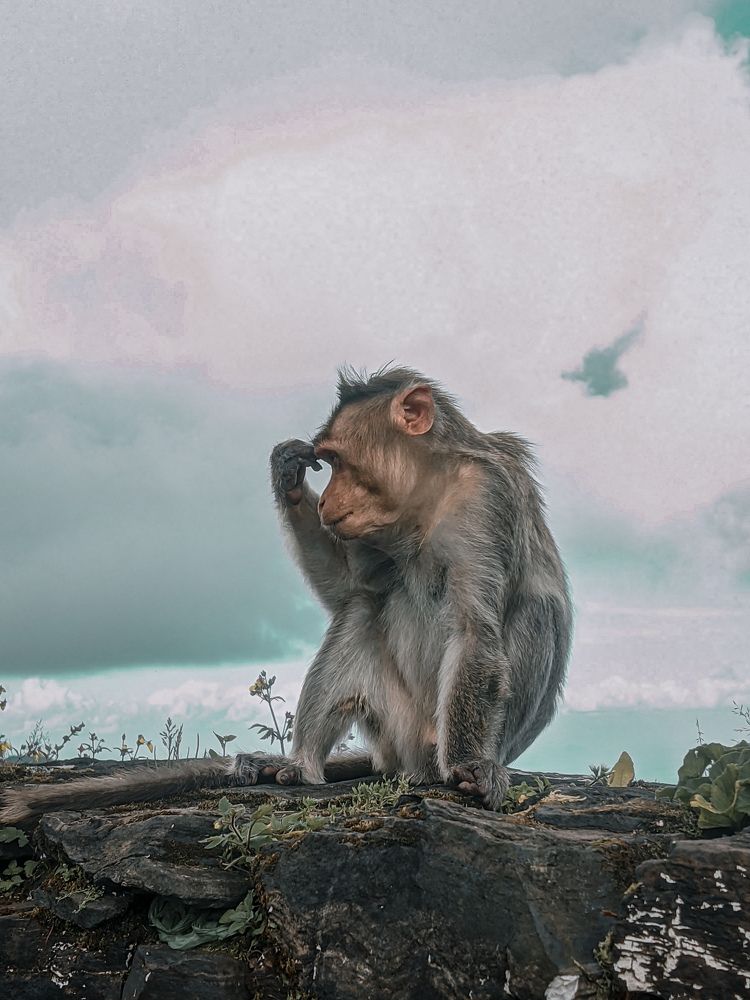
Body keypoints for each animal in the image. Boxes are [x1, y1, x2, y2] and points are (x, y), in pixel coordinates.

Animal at [0, 366, 571, 825]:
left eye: (339, 460)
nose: (326, 501)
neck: (425, 498)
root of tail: (406, 757)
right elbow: (353, 587)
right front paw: (287, 479)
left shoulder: (483, 498)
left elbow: (475, 628)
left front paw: (472, 766)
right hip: (394, 723)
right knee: (361, 611)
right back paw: (298, 765)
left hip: (445, 734)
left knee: (534, 612)